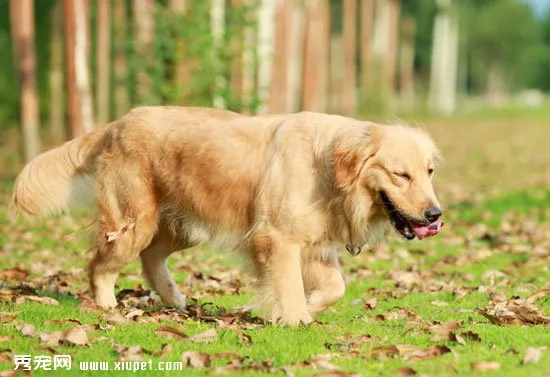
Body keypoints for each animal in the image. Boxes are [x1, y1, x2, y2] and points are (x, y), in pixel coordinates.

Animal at [12, 106, 444, 324]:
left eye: (429, 171)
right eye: (400, 174)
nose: (435, 214)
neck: (328, 168)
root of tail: (117, 122)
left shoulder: (314, 245)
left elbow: (335, 287)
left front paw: (305, 308)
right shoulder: (278, 239)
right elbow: (289, 287)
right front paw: (295, 319)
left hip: (183, 226)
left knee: (150, 257)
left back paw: (173, 299)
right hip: (134, 220)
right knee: (101, 264)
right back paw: (106, 305)